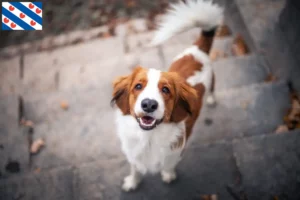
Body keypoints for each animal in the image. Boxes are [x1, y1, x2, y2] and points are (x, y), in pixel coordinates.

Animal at [110, 0, 223, 191]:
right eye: (138, 86)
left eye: (166, 90)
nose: (148, 104)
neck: (148, 137)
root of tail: (197, 50)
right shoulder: (133, 154)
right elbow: (135, 169)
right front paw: (133, 182)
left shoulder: (176, 152)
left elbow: (168, 165)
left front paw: (168, 176)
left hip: (212, 79)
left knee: (214, 87)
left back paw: (211, 99)